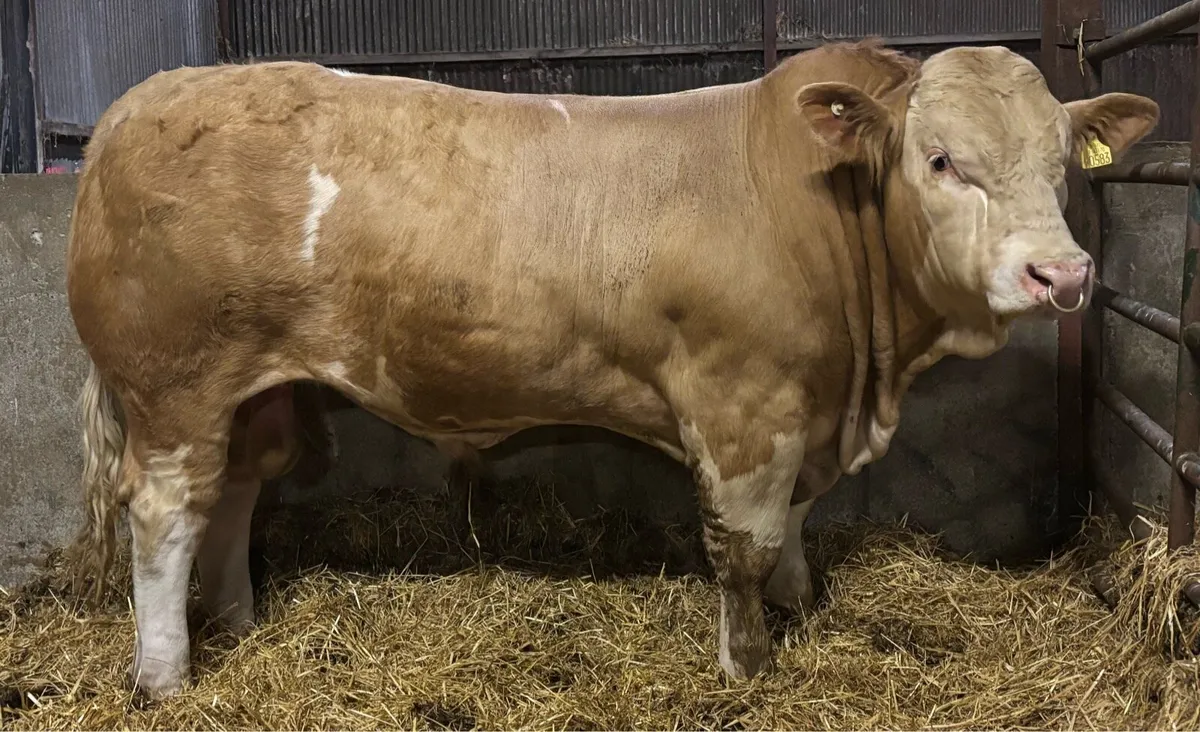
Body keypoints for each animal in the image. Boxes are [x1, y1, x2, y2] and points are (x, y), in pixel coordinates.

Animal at [64, 39, 1159, 698]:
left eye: (1062, 161)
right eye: (940, 160)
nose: (1060, 274)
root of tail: (143, 102)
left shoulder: (804, 407)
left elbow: (799, 522)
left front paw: (799, 604)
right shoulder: (741, 401)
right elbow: (744, 544)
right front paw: (749, 664)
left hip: (259, 391)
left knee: (236, 493)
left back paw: (242, 628)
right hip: (174, 384)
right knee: (165, 514)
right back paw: (165, 675)